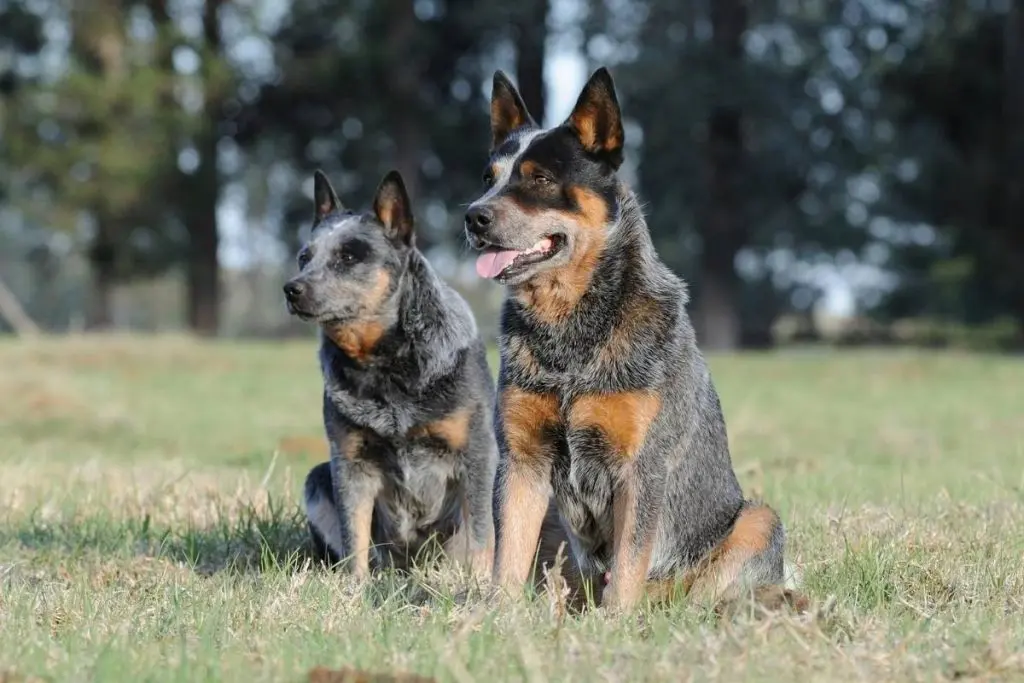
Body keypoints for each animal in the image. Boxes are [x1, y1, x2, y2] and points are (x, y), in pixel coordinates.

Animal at [286, 169, 497, 577]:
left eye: (349, 256)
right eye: (305, 257)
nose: (291, 288)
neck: (384, 365)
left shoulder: (477, 454)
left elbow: (480, 536)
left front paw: (480, 583)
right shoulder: (350, 462)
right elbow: (354, 537)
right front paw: (355, 587)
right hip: (318, 476)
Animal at [464, 68, 790, 614]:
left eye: (540, 178)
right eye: (489, 178)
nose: (473, 217)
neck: (569, 335)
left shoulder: (641, 467)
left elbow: (630, 560)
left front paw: (614, 625)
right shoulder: (522, 459)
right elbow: (507, 556)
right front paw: (496, 620)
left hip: (758, 521)